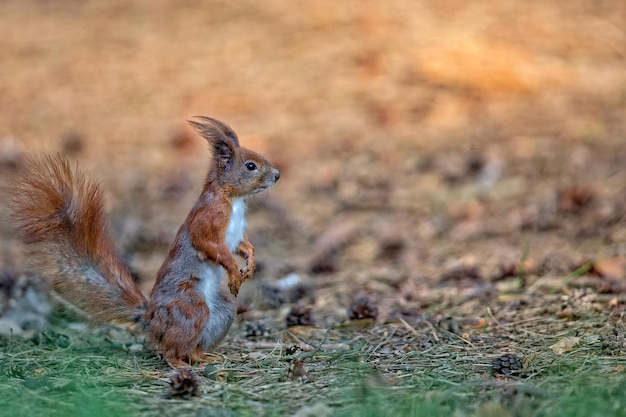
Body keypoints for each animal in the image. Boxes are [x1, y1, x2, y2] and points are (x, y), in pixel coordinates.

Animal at [5, 115, 278, 366]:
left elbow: (243, 246)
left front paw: (250, 265)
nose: (277, 175)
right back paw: (180, 364)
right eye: (250, 166)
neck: (233, 199)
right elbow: (211, 246)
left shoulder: (238, 232)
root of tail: (151, 319)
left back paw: (204, 357)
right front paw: (233, 272)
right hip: (189, 307)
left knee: (194, 345)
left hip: (222, 312)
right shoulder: (208, 219)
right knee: (171, 349)